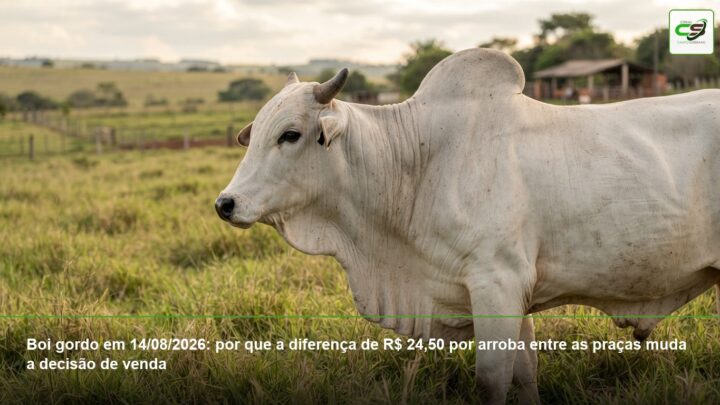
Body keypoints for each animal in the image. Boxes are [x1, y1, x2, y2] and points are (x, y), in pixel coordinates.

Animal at [215, 48, 720, 404]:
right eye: (254, 134)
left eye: (290, 134)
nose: (226, 203)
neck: (418, 164)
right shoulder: (516, 293)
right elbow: (525, 374)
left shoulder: (497, 281)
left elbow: (492, 380)